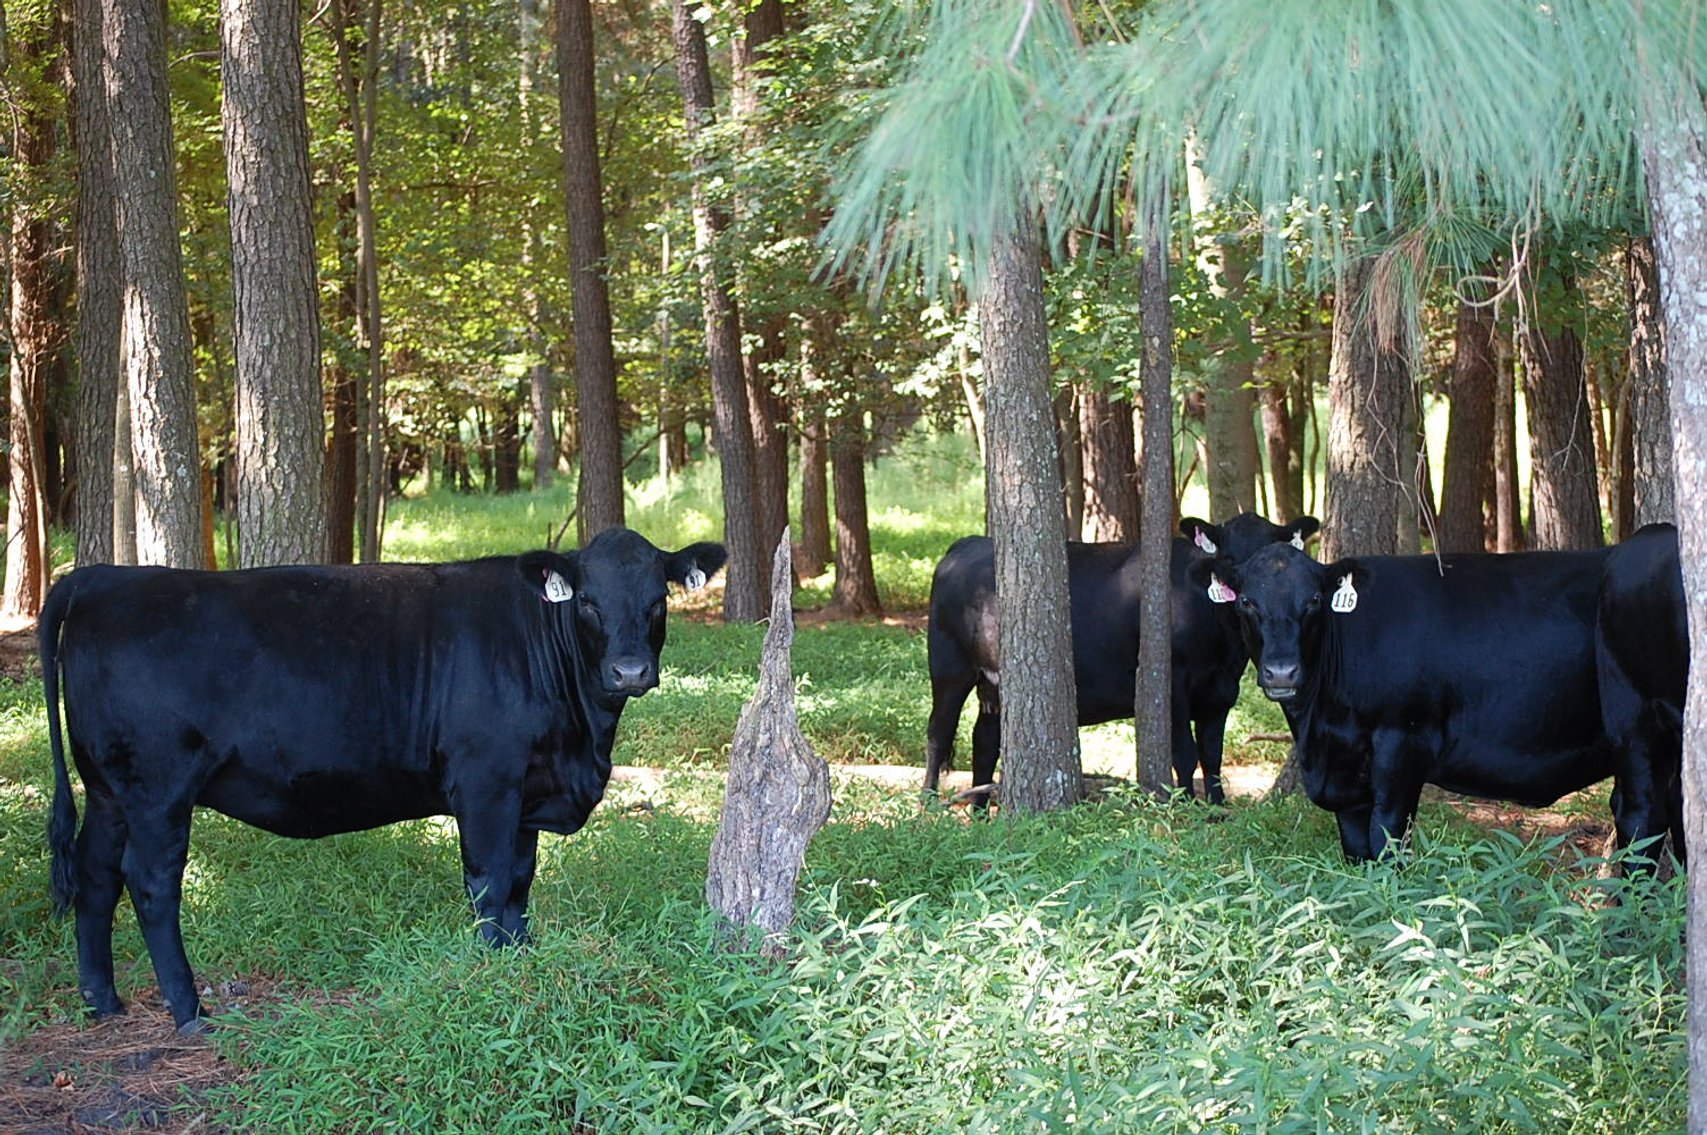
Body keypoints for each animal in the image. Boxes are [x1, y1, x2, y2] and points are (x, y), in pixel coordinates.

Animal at [42, 527, 726, 1033]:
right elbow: (490, 883)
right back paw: (190, 1012)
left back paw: (101, 999)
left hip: (108, 790)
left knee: (96, 876)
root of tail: (99, 575)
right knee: (150, 883)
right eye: (588, 601)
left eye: (658, 600)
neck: (582, 737)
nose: (629, 670)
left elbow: (520, 885)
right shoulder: (487, 783)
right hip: (157, 790)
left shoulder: (527, 790)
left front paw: (523, 961)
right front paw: (493, 970)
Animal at [923, 512, 1319, 805]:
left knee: (985, 740)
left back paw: (978, 811)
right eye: (1229, 560)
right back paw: (929, 805)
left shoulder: (1220, 692)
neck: (1224, 646)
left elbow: (1212, 755)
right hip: (948, 666)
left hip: (994, 682)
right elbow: (1185, 753)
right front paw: (1187, 807)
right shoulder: (1171, 683)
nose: (1249, 601)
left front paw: (1218, 809)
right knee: (939, 733)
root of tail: (969, 542)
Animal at [1196, 540, 1673, 863]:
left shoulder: (1403, 742)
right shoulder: (1347, 783)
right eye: (1247, 602)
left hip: (1639, 727)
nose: (1282, 672)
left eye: (1313, 600)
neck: (1323, 727)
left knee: (1641, 818)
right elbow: (1357, 851)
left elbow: (1387, 839)